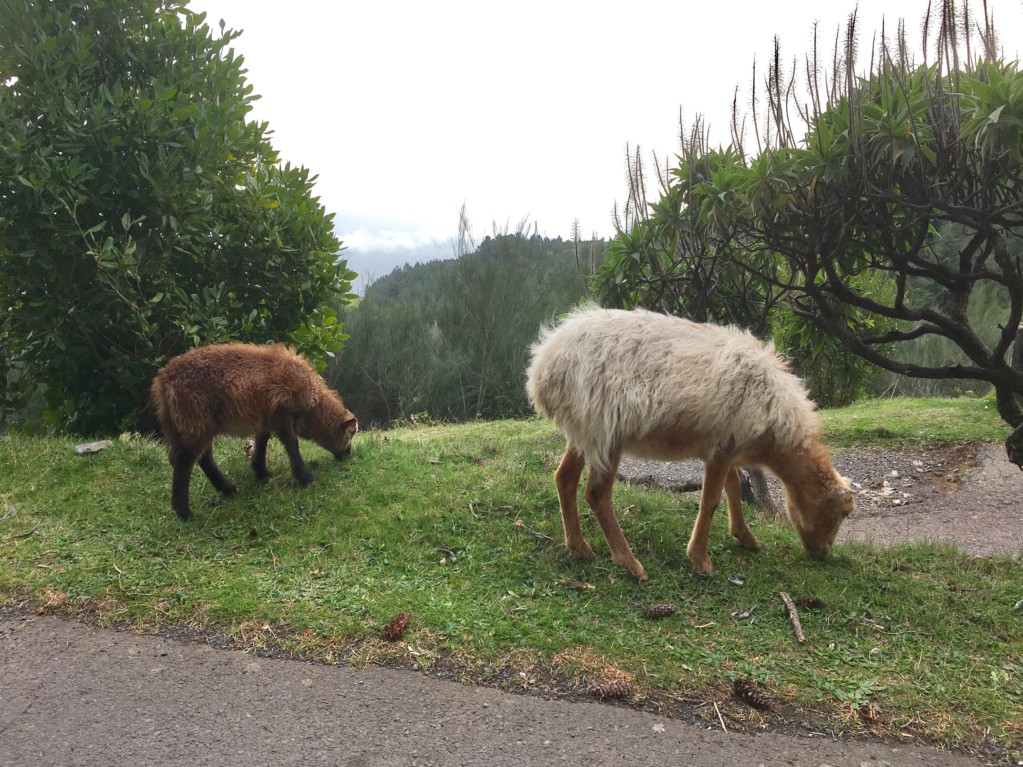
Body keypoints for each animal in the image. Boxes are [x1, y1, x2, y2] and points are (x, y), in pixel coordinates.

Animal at [151, 342, 358, 521]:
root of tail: (164, 380)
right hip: (194, 417)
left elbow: (262, 440)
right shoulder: (282, 412)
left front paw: (261, 471)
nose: (348, 453)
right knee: (185, 460)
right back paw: (183, 510)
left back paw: (227, 488)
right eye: (351, 434)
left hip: (188, 423)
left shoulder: (266, 416)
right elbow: (292, 443)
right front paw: (305, 478)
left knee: (203, 457)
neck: (312, 407)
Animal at [525, 305, 853, 580]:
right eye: (843, 513)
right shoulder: (722, 448)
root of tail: (545, 364)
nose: (822, 554)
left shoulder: (727, 446)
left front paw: (744, 536)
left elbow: (734, 486)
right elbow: (711, 500)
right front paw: (700, 559)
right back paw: (629, 563)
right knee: (596, 494)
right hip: (606, 429)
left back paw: (579, 547)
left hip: (584, 431)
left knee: (564, 478)